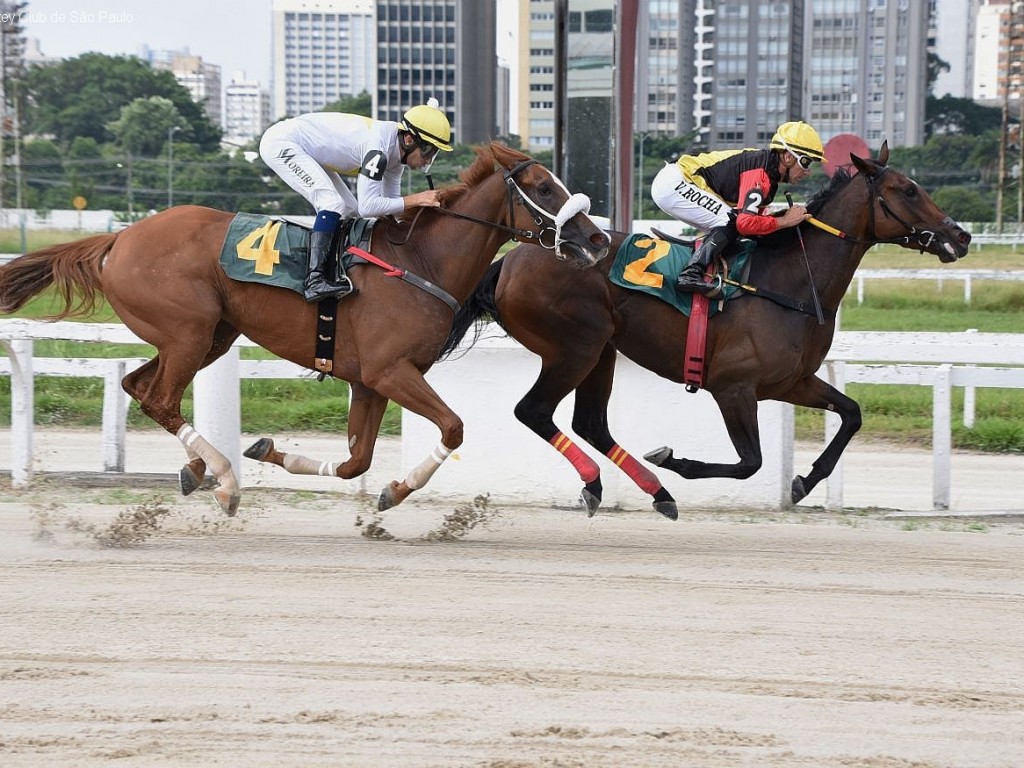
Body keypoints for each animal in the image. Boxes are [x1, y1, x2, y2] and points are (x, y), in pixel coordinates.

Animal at [0, 144, 606, 518]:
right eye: (545, 189)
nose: (597, 240)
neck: (421, 261)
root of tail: (119, 239)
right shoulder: (391, 371)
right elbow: (453, 428)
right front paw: (396, 490)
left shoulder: (369, 380)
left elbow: (357, 461)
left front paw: (280, 453)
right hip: (188, 333)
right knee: (159, 398)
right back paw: (222, 479)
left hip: (207, 336)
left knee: (140, 388)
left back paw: (197, 469)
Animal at [440, 141, 966, 520]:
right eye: (909, 190)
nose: (960, 236)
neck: (791, 280)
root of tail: (509, 260)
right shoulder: (733, 387)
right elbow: (750, 462)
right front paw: (674, 458)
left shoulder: (791, 382)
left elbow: (852, 414)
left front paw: (805, 481)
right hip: (574, 347)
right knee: (533, 411)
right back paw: (603, 483)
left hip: (602, 349)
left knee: (589, 422)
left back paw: (656, 493)